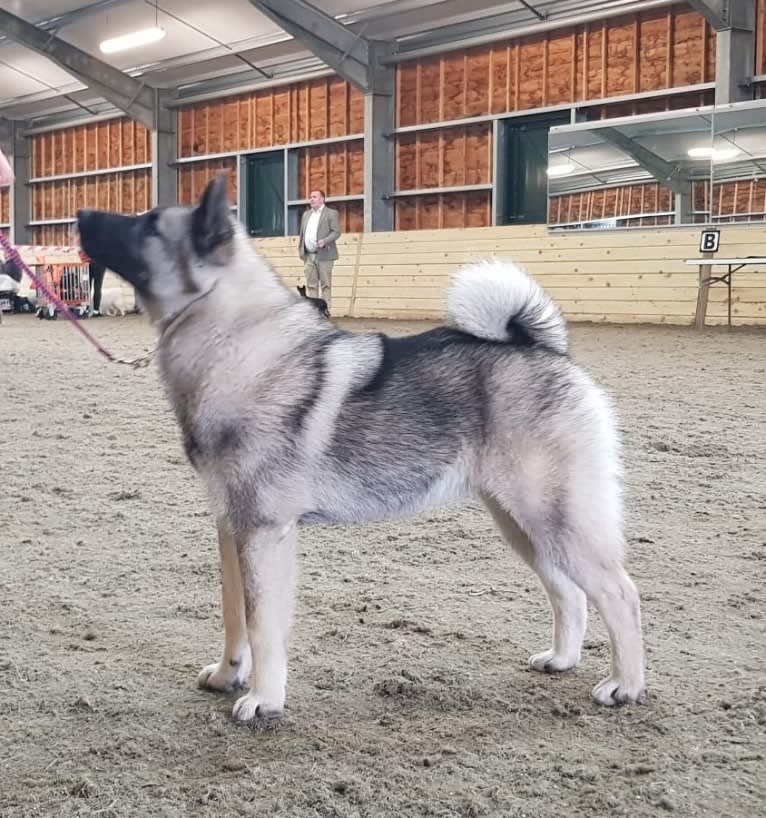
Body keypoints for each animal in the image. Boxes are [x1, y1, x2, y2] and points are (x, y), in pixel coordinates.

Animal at [78, 174, 644, 720]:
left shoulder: (263, 533)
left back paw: (625, 685)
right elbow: (234, 616)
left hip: (556, 518)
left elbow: (263, 625)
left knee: (619, 593)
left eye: (149, 224)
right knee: (568, 593)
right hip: (524, 525)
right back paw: (562, 659)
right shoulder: (232, 529)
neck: (236, 342)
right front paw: (227, 676)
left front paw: (264, 699)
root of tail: (541, 349)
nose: (81, 214)